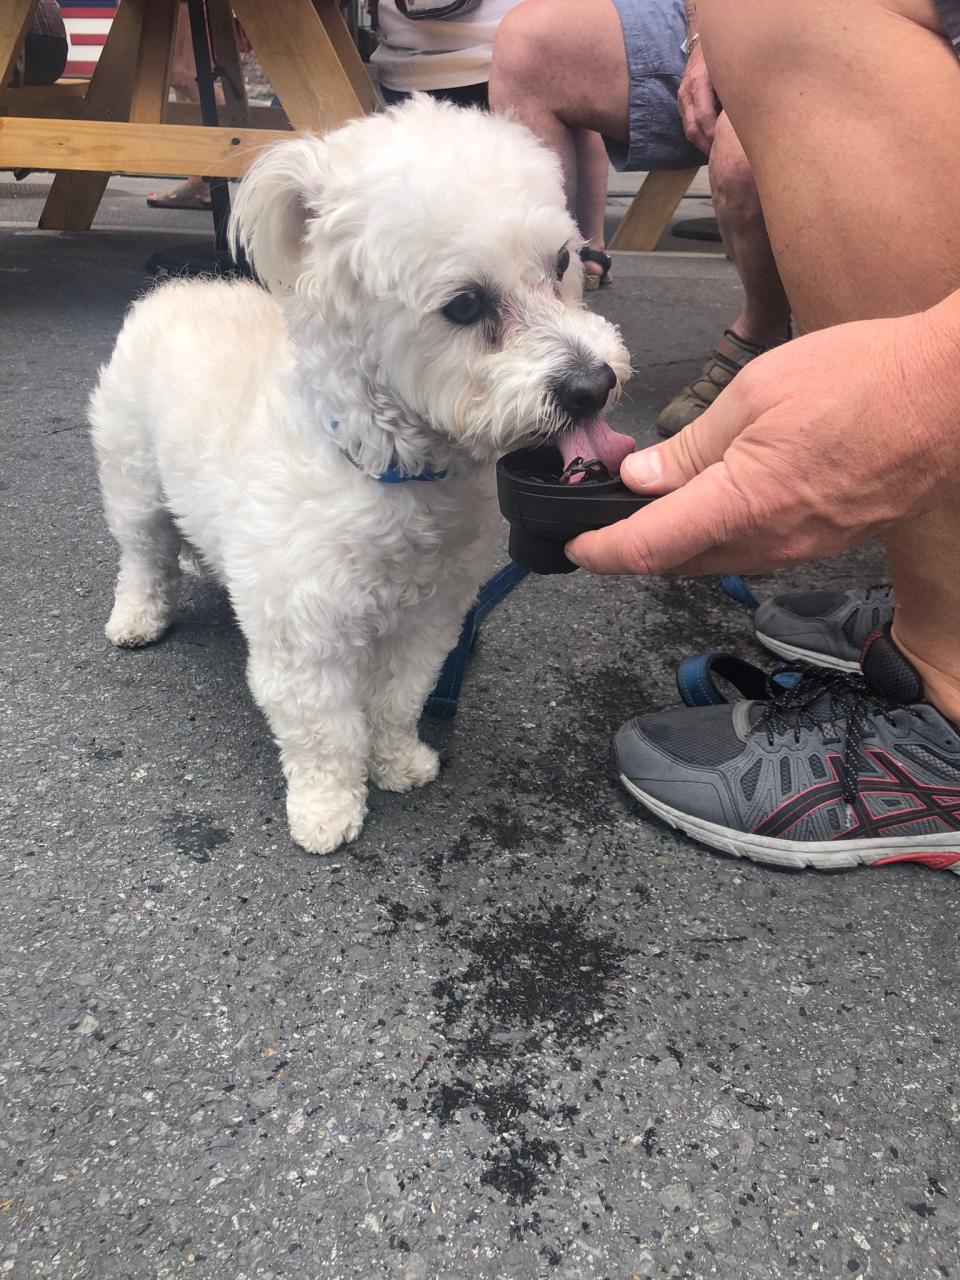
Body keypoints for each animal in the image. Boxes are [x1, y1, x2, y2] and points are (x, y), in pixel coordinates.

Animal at [88, 97, 632, 849]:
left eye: (561, 263)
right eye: (466, 305)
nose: (592, 385)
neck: (390, 474)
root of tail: (175, 290)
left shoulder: (430, 619)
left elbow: (397, 700)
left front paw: (397, 761)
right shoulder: (304, 639)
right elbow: (324, 730)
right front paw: (326, 808)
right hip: (133, 478)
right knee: (143, 555)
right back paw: (139, 616)